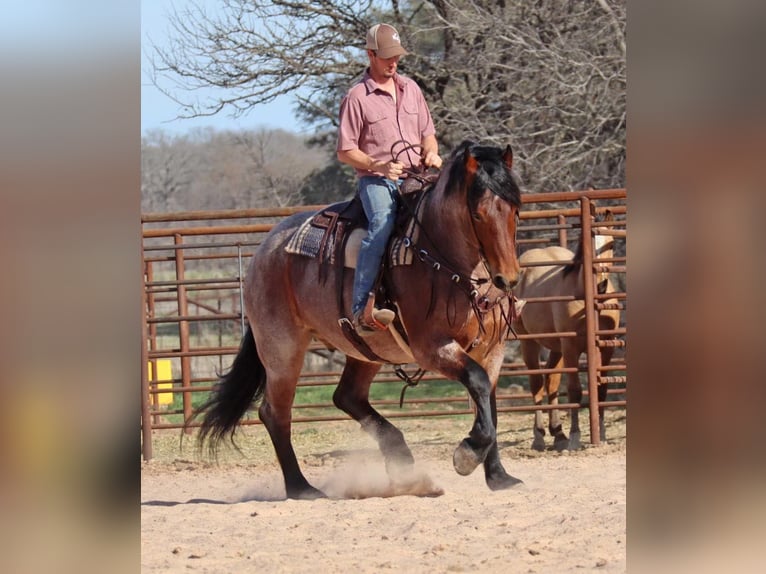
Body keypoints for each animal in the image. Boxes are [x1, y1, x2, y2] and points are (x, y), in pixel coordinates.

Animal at [189, 141, 524, 500]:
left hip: (364, 349)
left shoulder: (492, 349)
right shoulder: (432, 347)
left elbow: (488, 401)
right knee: (275, 412)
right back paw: (302, 487)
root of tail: (266, 248)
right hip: (282, 349)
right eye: (477, 214)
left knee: (346, 396)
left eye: (515, 210)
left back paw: (402, 463)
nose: (508, 278)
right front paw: (467, 454)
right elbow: (477, 382)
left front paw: (499, 476)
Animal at [510, 214, 624, 452]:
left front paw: (602, 434)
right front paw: (575, 436)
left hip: (556, 347)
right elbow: (575, 391)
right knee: (537, 385)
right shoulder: (571, 348)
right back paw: (540, 436)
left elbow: (601, 389)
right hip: (530, 343)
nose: (600, 284)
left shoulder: (606, 347)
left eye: (611, 244)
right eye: (586, 243)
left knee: (550, 381)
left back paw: (558, 433)